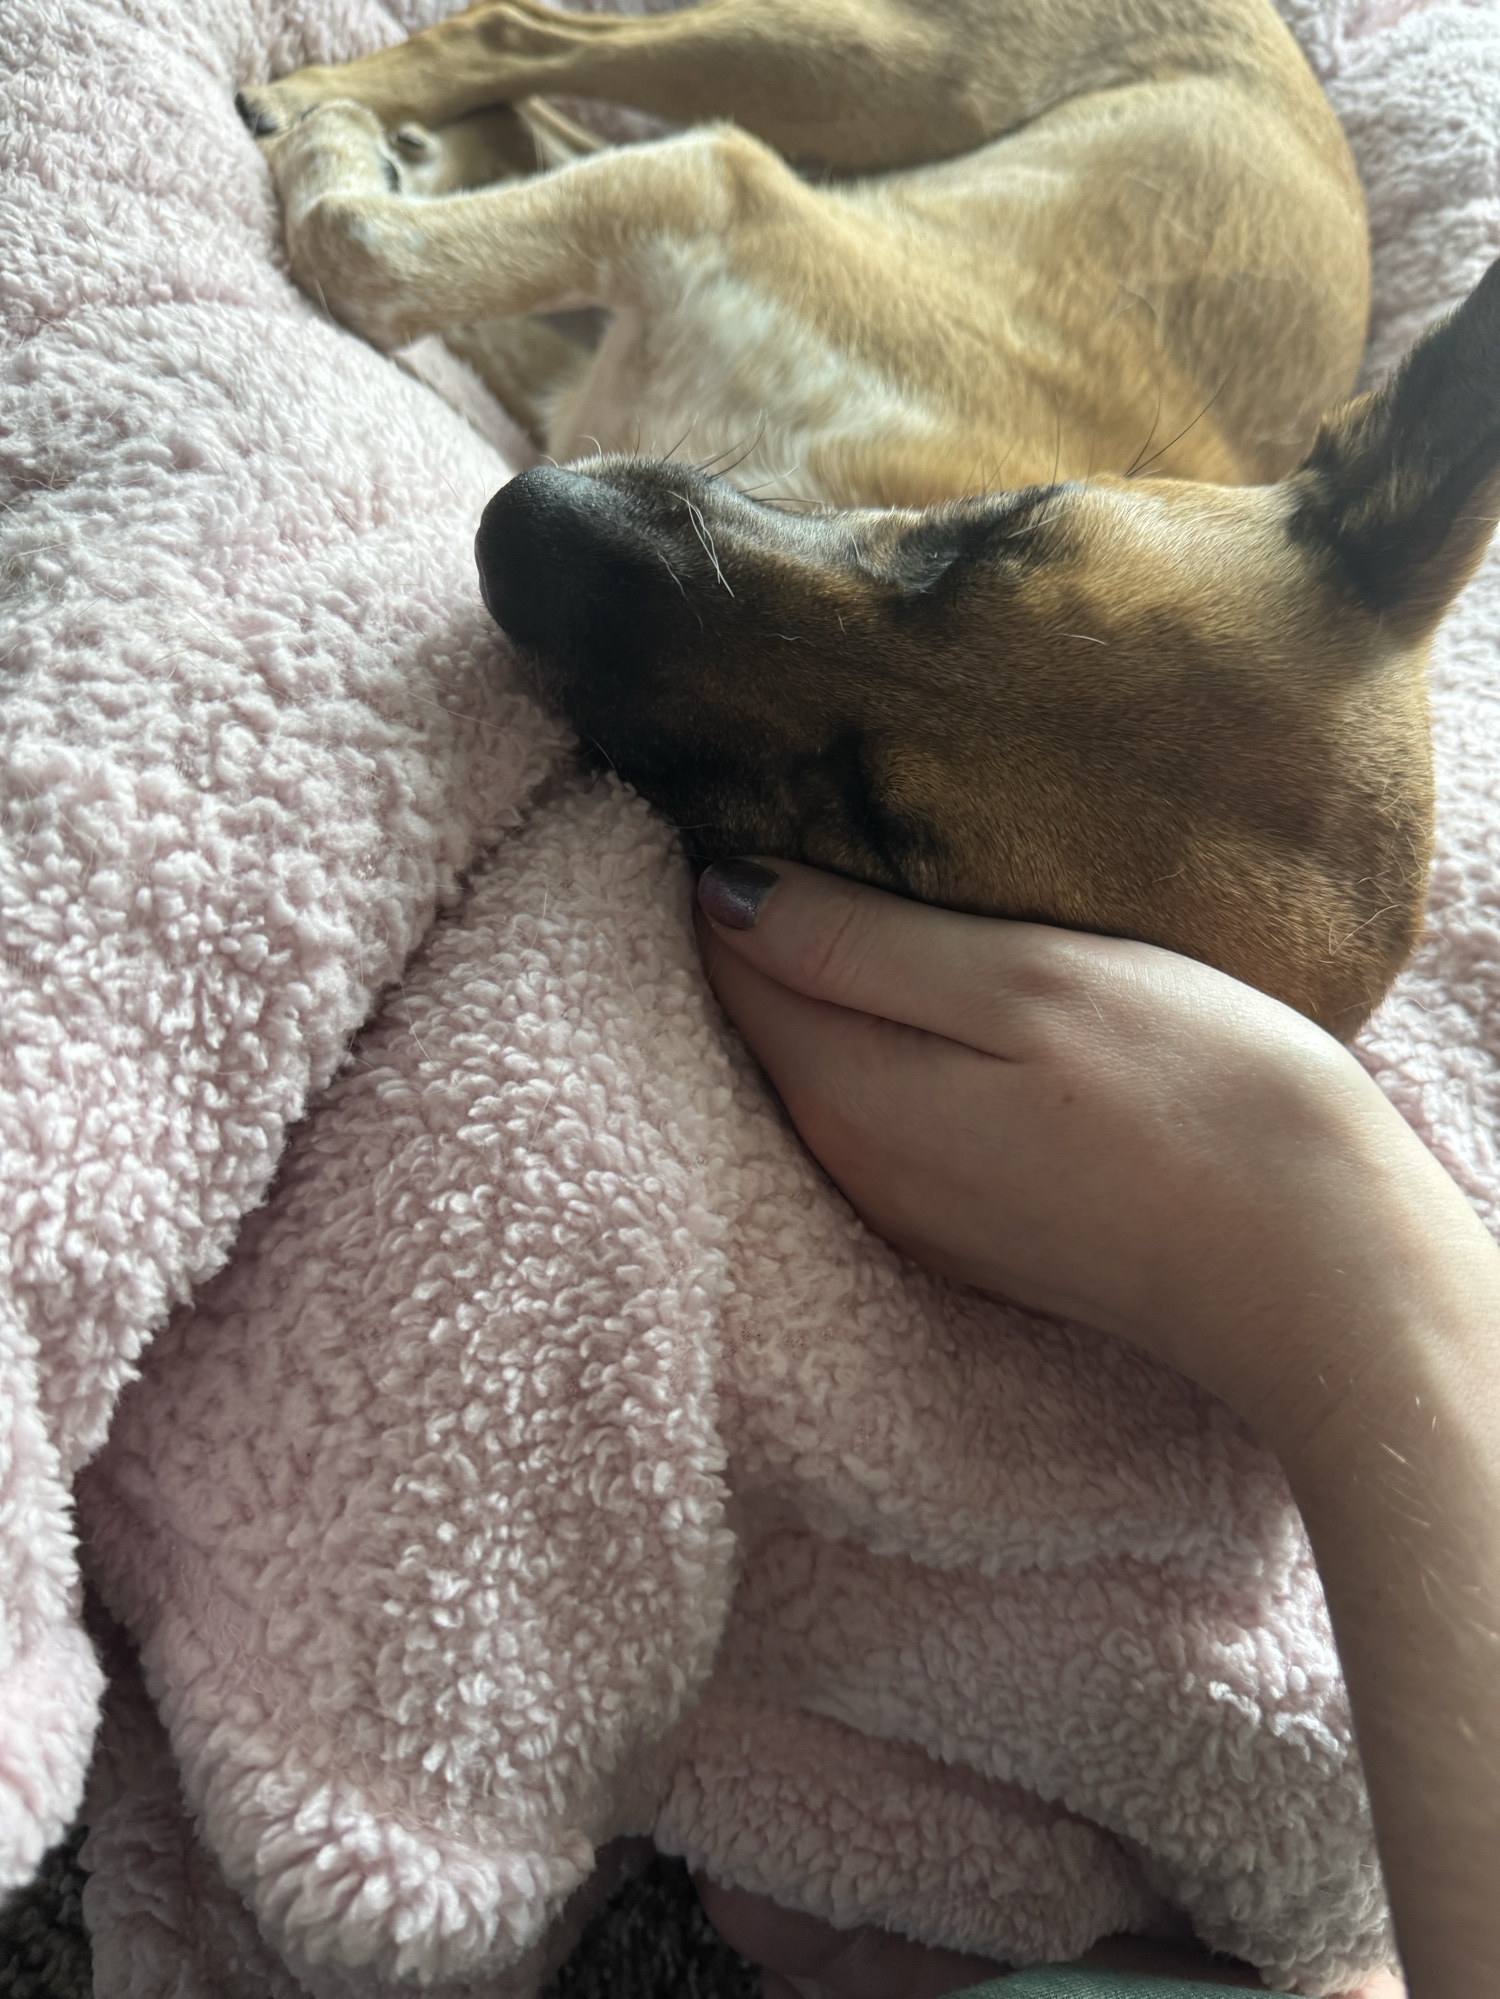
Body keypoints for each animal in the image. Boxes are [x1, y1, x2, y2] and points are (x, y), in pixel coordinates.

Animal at [239, 0, 1500, 1039]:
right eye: (993, 532)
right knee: (530, 35)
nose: (524, 526)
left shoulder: (603, 338)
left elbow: (381, 265)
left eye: (881, 833)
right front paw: (338, 156)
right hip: (861, 68)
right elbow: (369, 253)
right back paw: (324, 102)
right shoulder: (712, 191)